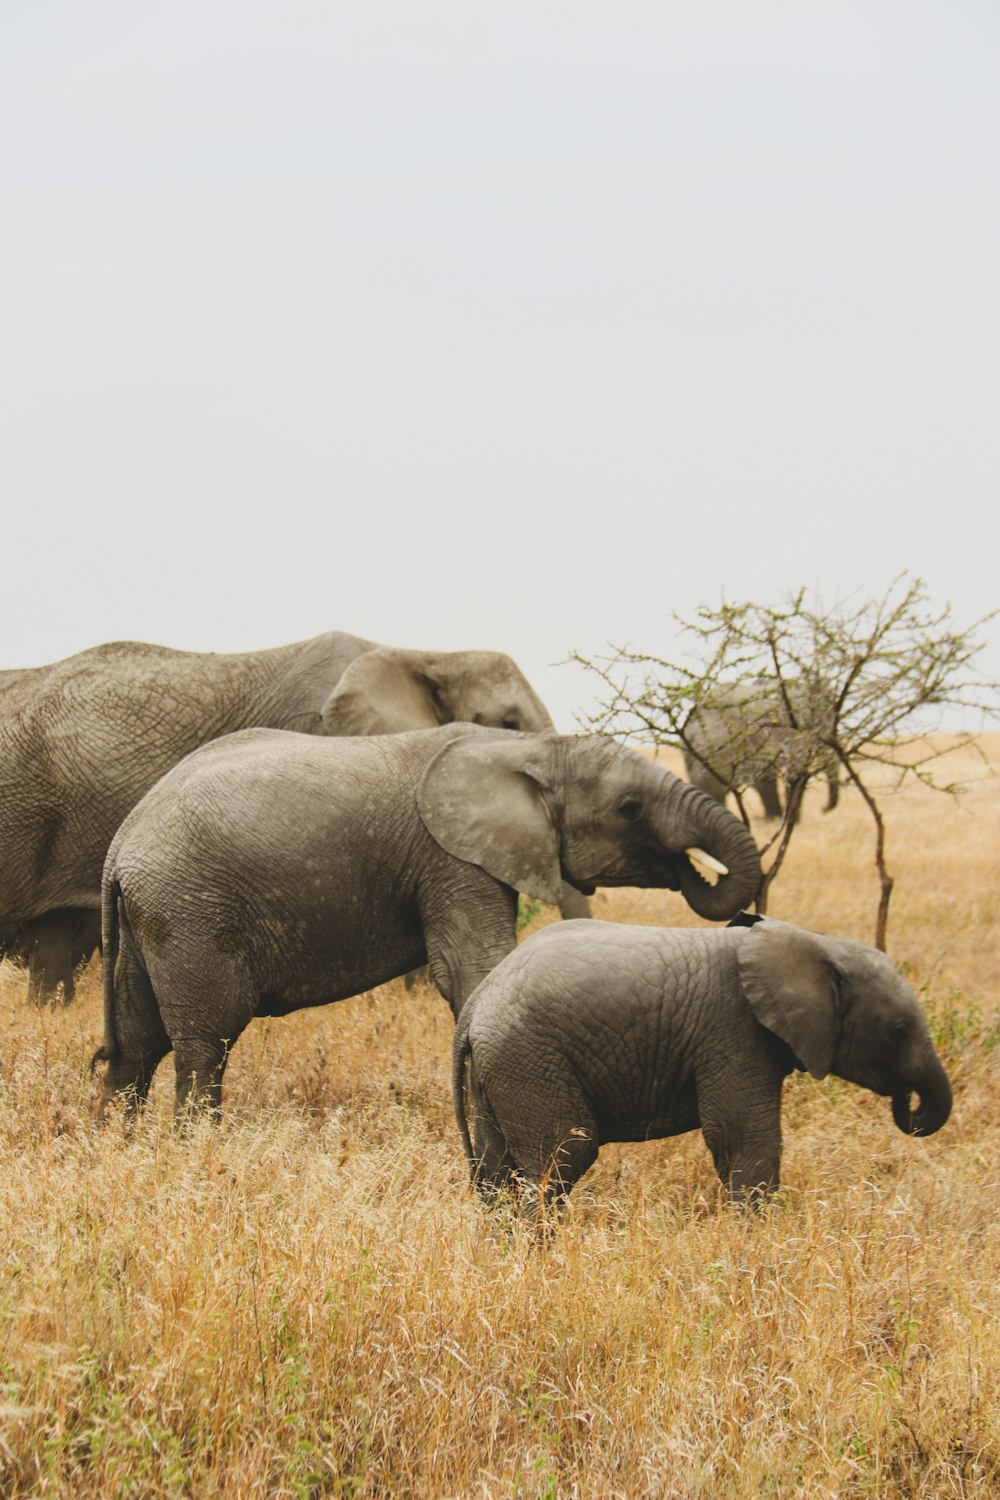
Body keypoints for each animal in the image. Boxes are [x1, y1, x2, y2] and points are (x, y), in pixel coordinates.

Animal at [95, 720, 767, 1122]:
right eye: (630, 809)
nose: (696, 873)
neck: (528, 749)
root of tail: (121, 844)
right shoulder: (452, 861)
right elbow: (473, 969)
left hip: (149, 918)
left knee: (136, 1045)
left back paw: (118, 1150)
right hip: (190, 913)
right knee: (205, 1044)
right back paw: (199, 1150)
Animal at [452, 912, 953, 1218]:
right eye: (898, 1031)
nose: (909, 1106)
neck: (816, 944)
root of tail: (477, 1003)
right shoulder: (733, 1032)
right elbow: (743, 1139)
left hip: (503, 1066)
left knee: (497, 1169)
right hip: (530, 1059)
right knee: (563, 1155)